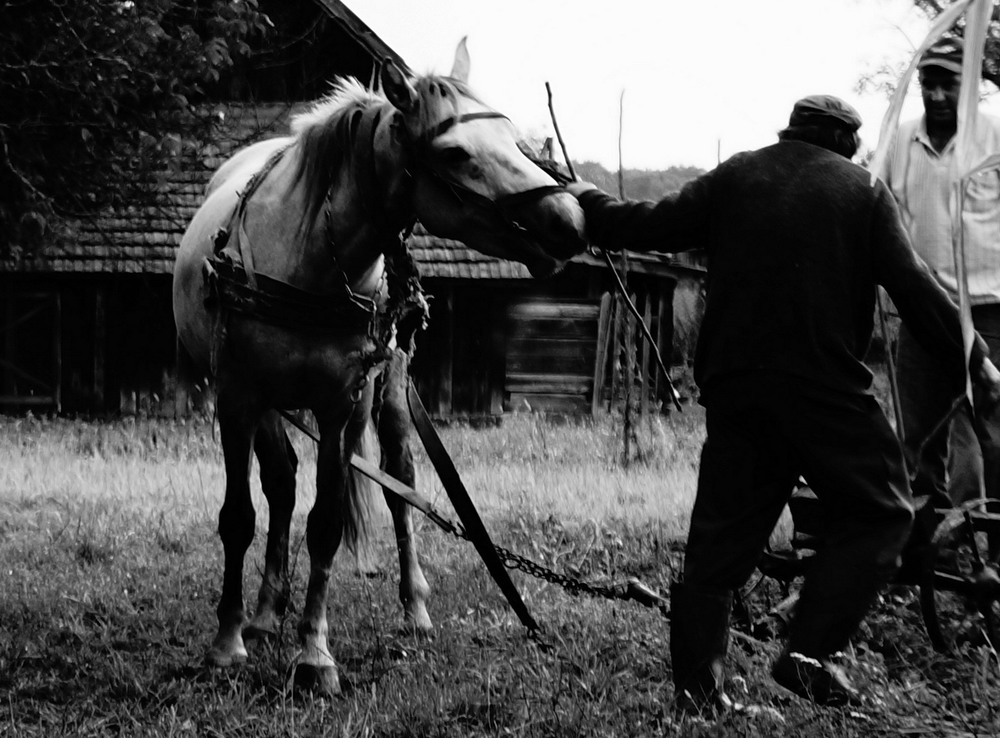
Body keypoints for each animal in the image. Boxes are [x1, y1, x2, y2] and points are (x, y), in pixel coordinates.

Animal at [172, 38, 584, 696]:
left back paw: (412, 606)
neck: (310, 258)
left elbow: (327, 523)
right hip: (266, 404)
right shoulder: (237, 396)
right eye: (455, 151)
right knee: (280, 483)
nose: (568, 220)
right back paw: (262, 615)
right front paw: (227, 641)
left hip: (388, 393)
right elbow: (239, 517)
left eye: (510, 135)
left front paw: (314, 654)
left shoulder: (343, 404)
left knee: (400, 484)